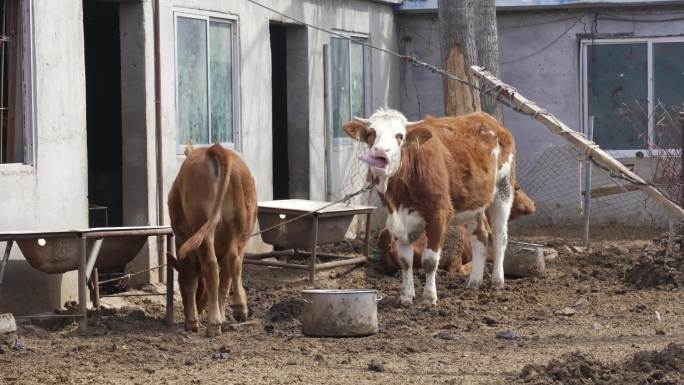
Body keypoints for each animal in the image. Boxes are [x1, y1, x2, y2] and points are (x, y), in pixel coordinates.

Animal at [168, 142, 256, 334]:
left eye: (178, 283)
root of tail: (215, 149)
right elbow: (225, 281)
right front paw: (223, 317)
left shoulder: (183, 244)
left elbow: (191, 280)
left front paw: (192, 322)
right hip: (241, 226)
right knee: (234, 261)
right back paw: (239, 308)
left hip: (203, 229)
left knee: (210, 266)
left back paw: (214, 324)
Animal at [348, 109, 520, 306]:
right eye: (371, 133)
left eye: (400, 136)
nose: (380, 152)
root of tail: (485, 117)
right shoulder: (397, 220)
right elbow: (405, 261)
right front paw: (406, 296)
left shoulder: (439, 214)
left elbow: (429, 261)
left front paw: (429, 298)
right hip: (473, 201)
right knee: (481, 235)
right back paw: (474, 282)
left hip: (504, 188)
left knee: (500, 236)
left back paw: (497, 281)